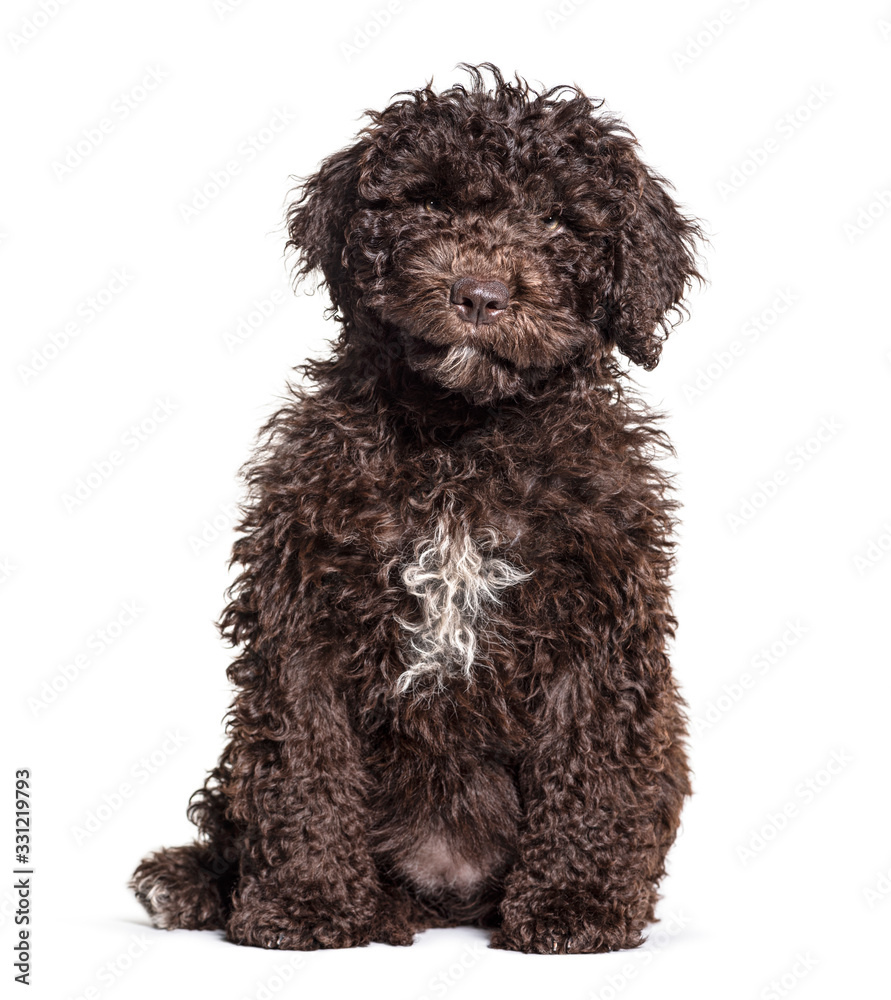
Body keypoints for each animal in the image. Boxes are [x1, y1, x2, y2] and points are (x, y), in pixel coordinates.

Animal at [132, 62, 704, 952]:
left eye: (558, 221)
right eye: (428, 201)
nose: (479, 294)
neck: (461, 441)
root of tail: (445, 894)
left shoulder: (600, 619)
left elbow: (592, 763)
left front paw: (573, 906)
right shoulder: (301, 608)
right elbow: (304, 762)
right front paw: (304, 904)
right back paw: (199, 884)